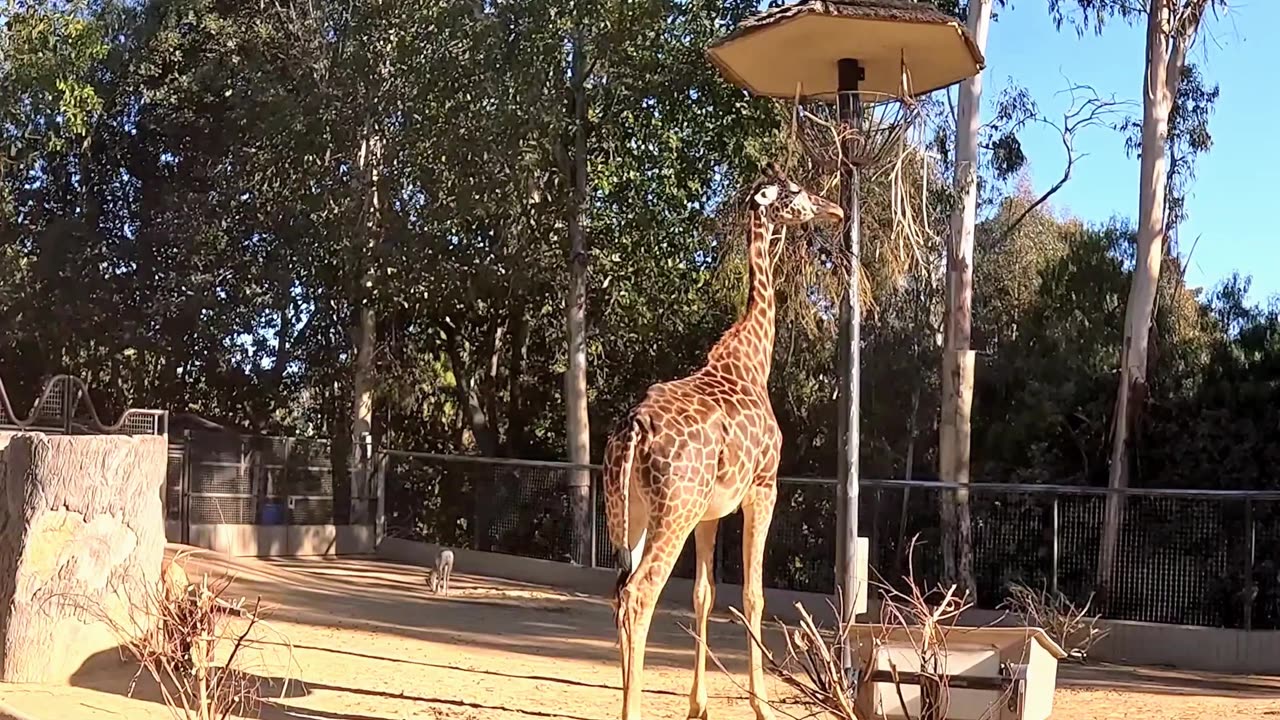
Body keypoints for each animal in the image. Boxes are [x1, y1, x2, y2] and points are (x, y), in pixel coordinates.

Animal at [601, 165, 844, 717]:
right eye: (796, 191)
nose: (837, 209)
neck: (754, 359)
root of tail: (633, 431)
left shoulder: (710, 513)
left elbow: (704, 594)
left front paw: (699, 705)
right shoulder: (764, 487)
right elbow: (753, 594)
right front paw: (761, 705)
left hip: (630, 513)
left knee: (618, 590)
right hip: (673, 511)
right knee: (639, 594)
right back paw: (632, 709)